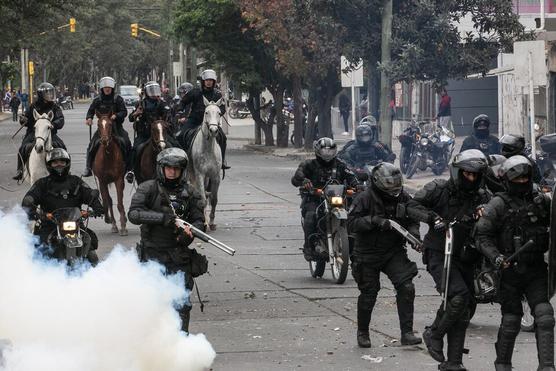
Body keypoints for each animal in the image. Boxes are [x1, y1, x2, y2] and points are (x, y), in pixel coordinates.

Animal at [189, 96, 224, 230]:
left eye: (219, 113)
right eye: (206, 112)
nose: (213, 130)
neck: (208, 149)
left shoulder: (215, 176)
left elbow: (213, 199)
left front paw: (212, 222)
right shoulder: (199, 174)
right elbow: (203, 199)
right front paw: (204, 222)